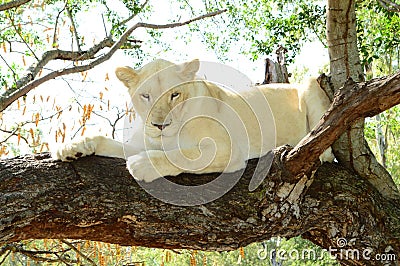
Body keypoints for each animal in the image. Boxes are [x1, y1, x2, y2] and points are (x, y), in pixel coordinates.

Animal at [54, 59, 334, 182]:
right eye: (146, 96)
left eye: (174, 95)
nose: (160, 126)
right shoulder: (144, 143)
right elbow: (105, 140)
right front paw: (70, 147)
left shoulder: (229, 149)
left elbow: (183, 156)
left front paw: (142, 165)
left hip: (310, 83)